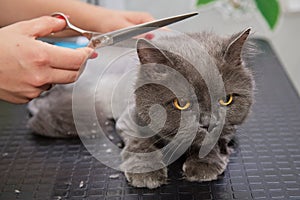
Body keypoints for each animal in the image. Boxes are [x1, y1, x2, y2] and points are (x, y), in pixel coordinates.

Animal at [27, 28, 254, 189]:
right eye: (181, 104)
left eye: (226, 100)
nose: (208, 123)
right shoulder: (128, 120)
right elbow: (140, 142)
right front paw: (146, 173)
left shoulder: (230, 128)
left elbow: (217, 140)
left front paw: (204, 164)